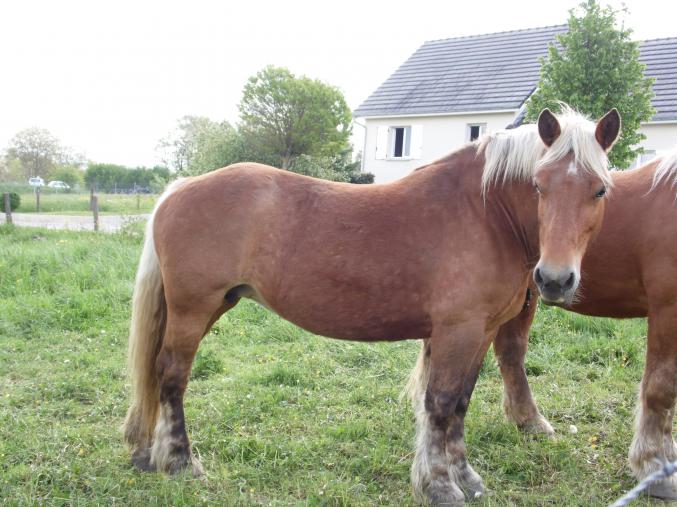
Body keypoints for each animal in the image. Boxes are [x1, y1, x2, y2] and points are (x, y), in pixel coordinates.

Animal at [123, 107, 620, 505]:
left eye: (599, 190)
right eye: (539, 186)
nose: (555, 280)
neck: (486, 213)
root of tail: (180, 188)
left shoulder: (479, 333)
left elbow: (459, 403)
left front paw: (466, 478)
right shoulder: (457, 331)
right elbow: (440, 404)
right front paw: (439, 486)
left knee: (155, 373)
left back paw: (147, 454)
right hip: (193, 310)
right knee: (172, 376)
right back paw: (180, 462)